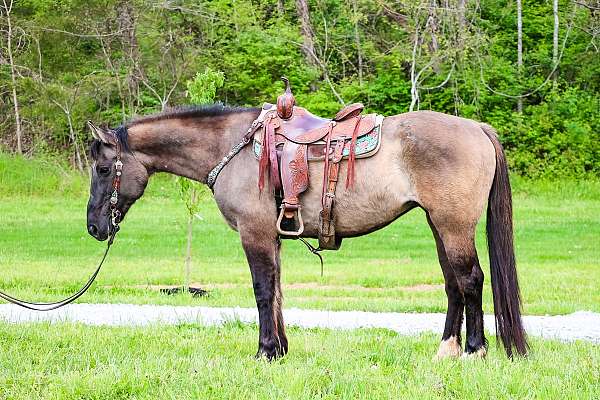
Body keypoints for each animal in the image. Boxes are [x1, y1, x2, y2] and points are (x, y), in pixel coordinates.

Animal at [86, 103, 528, 360]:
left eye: (104, 168)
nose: (93, 226)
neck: (232, 148)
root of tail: (476, 128)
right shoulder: (272, 237)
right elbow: (278, 291)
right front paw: (280, 349)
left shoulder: (254, 233)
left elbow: (263, 291)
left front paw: (265, 352)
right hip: (439, 225)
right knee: (453, 284)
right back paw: (447, 350)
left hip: (454, 226)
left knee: (470, 280)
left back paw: (474, 351)